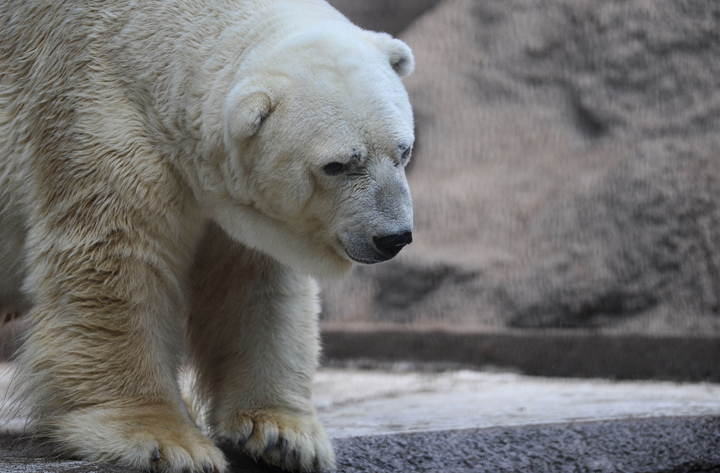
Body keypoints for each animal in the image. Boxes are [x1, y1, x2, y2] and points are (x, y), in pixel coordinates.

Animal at [0, 0, 415, 472]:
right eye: (338, 164)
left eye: (402, 151)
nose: (393, 237)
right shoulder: (96, 116)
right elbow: (116, 264)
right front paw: (165, 440)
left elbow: (253, 283)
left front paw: (283, 435)